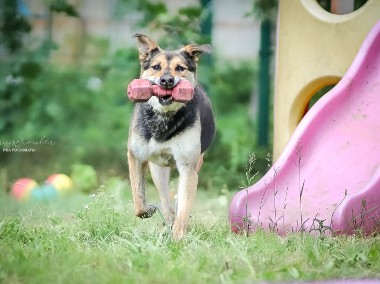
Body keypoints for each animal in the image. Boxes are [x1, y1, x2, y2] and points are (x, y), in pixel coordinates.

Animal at [127, 34, 215, 241]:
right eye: (156, 67)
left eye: (180, 68)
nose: (167, 80)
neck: (164, 116)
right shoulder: (135, 157)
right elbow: (138, 197)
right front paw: (147, 210)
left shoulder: (188, 167)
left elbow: (183, 208)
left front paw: (178, 237)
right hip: (158, 171)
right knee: (166, 201)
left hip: (193, 166)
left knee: (179, 201)